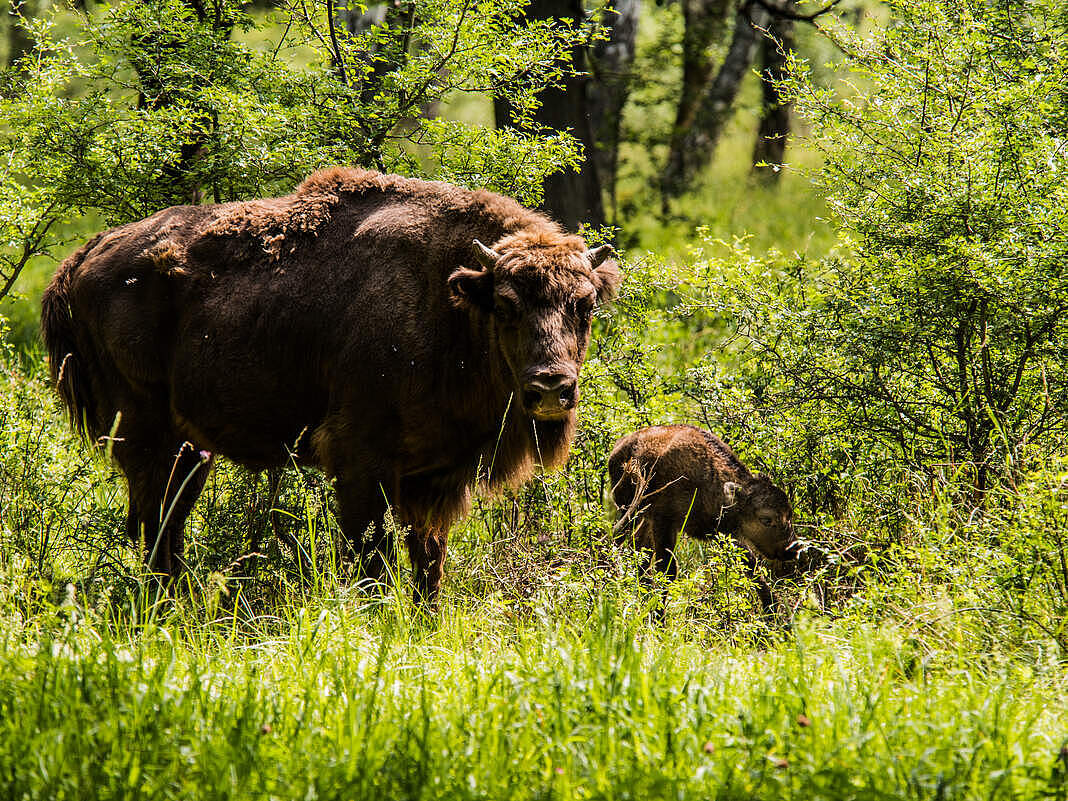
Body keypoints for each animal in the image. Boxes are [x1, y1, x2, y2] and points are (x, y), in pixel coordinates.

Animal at [43, 167, 623, 602]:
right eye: (506, 306)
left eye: (585, 305)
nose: (550, 389)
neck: (450, 303)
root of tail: (81, 261)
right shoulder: (364, 462)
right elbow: (370, 554)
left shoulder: (433, 480)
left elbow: (427, 561)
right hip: (148, 437)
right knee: (154, 525)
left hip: (190, 450)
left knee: (166, 523)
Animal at [610, 427, 794, 615]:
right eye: (766, 519)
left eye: (790, 514)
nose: (791, 549)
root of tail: (623, 446)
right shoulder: (664, 522)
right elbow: (668, 570)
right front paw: (658, 614)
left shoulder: (724, 532)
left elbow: (751, 564)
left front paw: (773, 609)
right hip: (630, 511)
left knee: (638, 549)